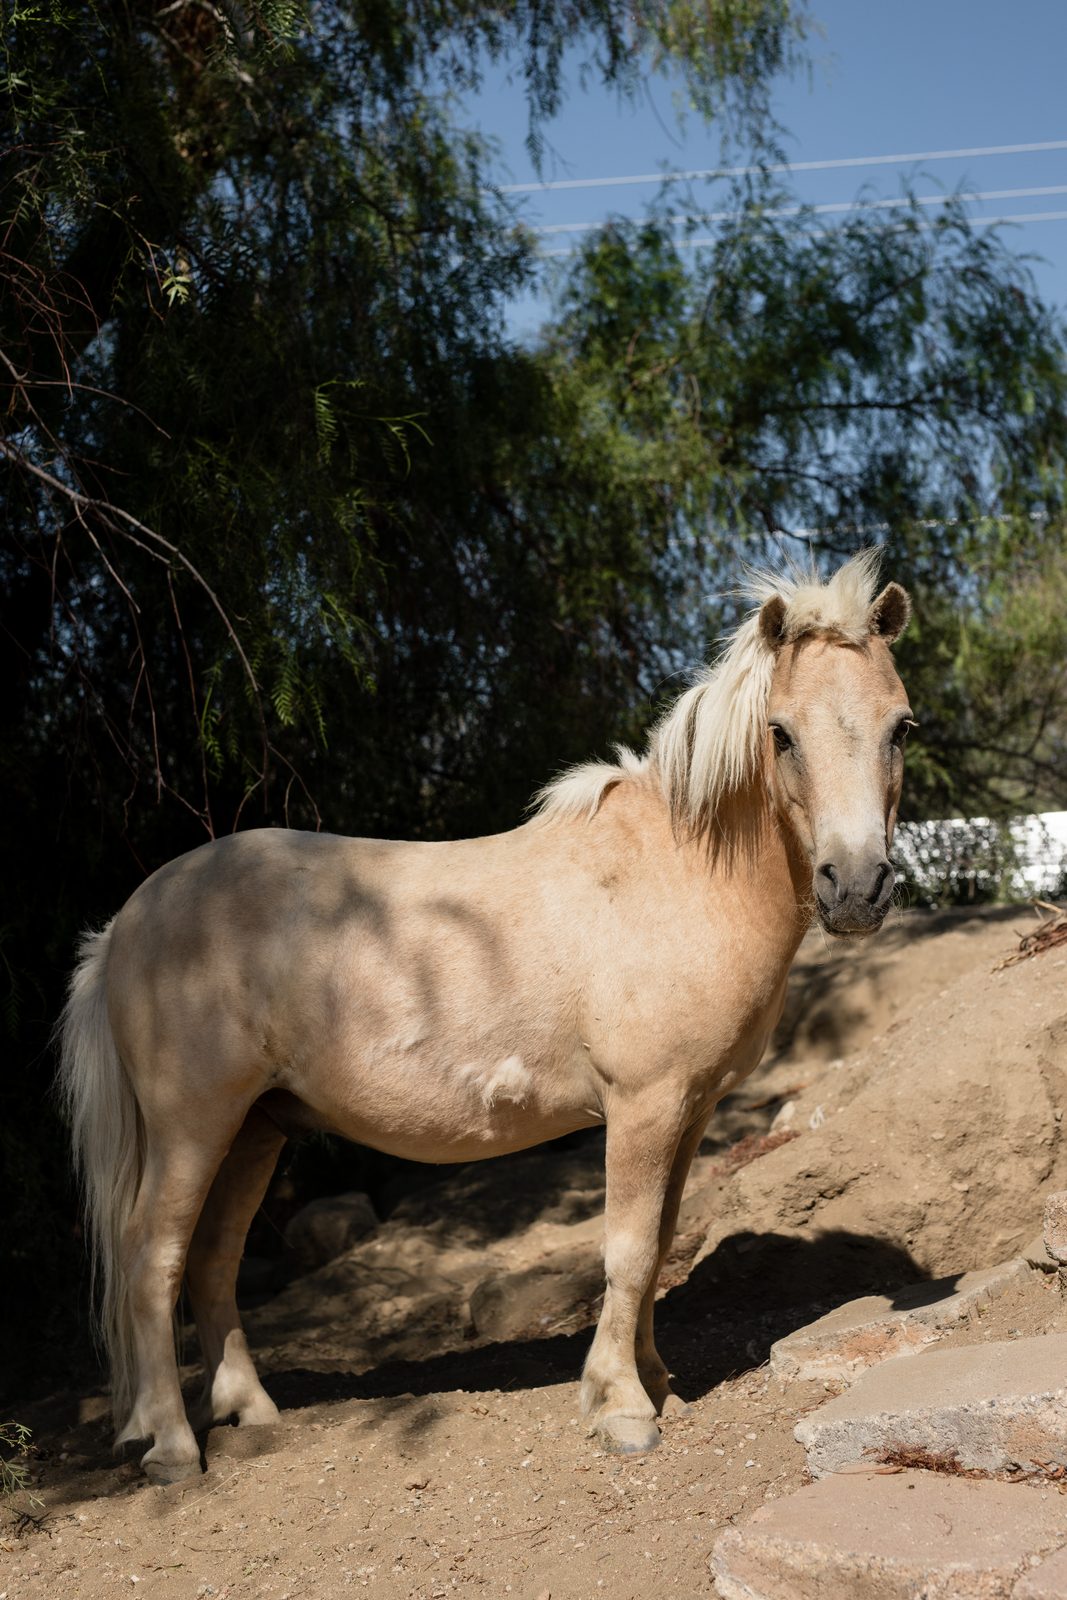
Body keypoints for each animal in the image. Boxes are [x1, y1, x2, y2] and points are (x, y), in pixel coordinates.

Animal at [59, 549, 913, 1483]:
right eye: (781, 733)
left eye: (900, 728)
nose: (856, 888)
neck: (674, 873)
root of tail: (127, 921)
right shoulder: (642, 1105)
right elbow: (625, 1248)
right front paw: (620, 1406)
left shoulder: (686, 1113)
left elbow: (656, 1242)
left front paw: (654, 1379)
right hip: (193, 1124)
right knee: (153, 1259)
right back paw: (173, 1447)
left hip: (255, 1128)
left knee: (212, 1263)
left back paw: (249, 1413)